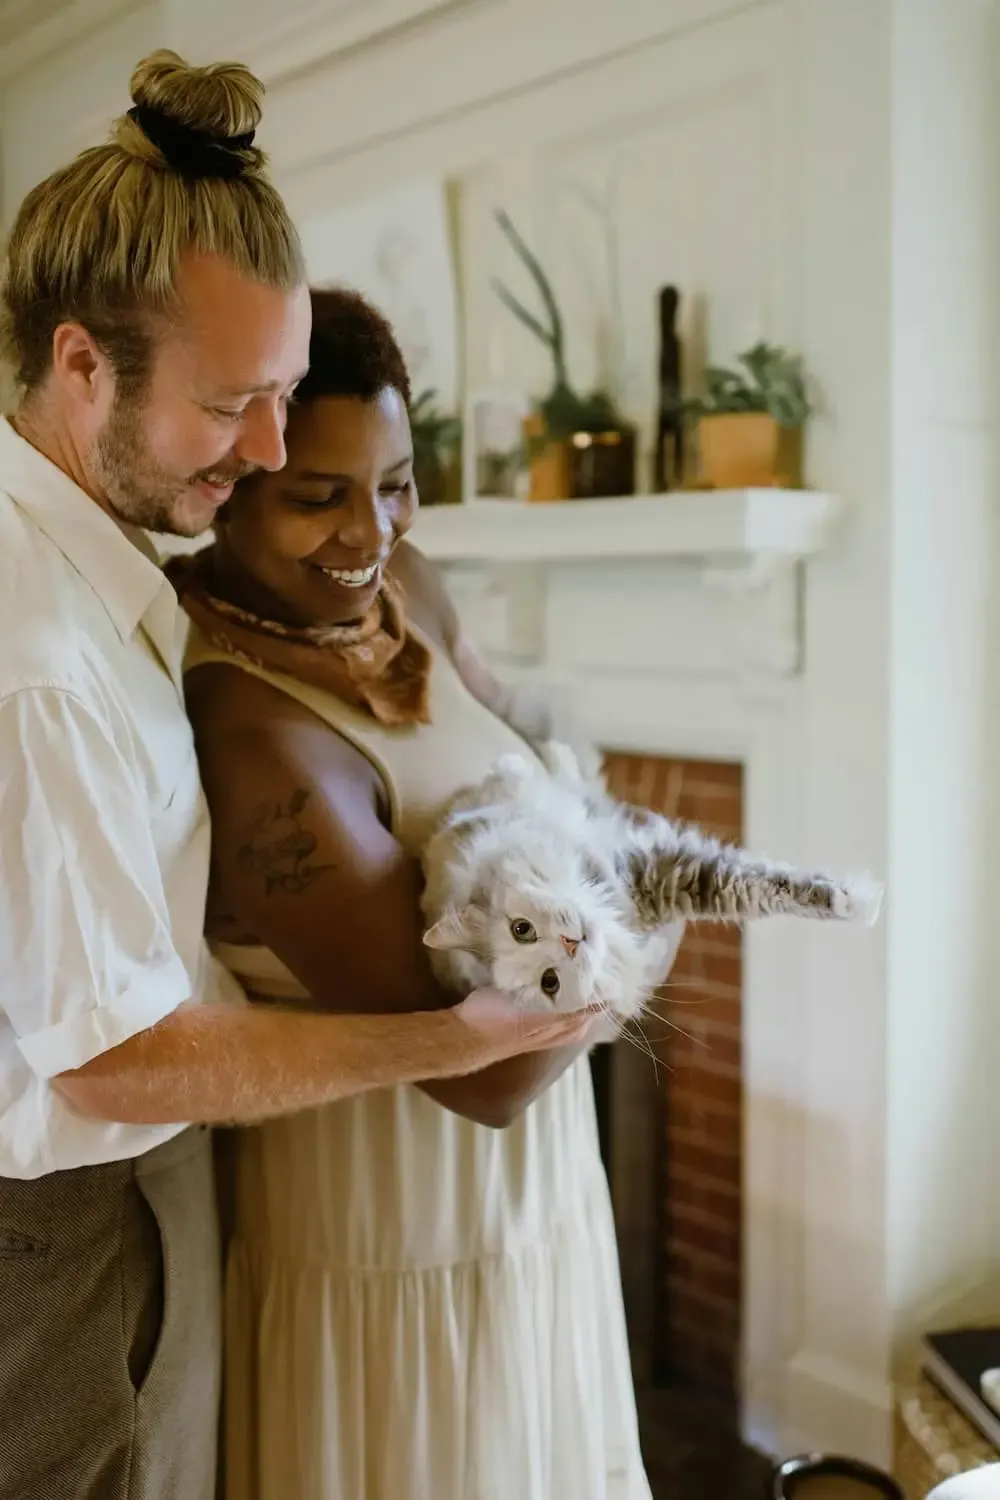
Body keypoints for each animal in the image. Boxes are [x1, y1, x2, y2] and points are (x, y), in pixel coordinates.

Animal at [422, 747, 881, 1026]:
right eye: (549, 983)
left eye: (522, 929)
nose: (570, 944)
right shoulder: (665, 886)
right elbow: (757, 888)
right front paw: (865, 903)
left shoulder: (641, 868)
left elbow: (774, 882)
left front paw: (860, 900)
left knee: (559, 777)